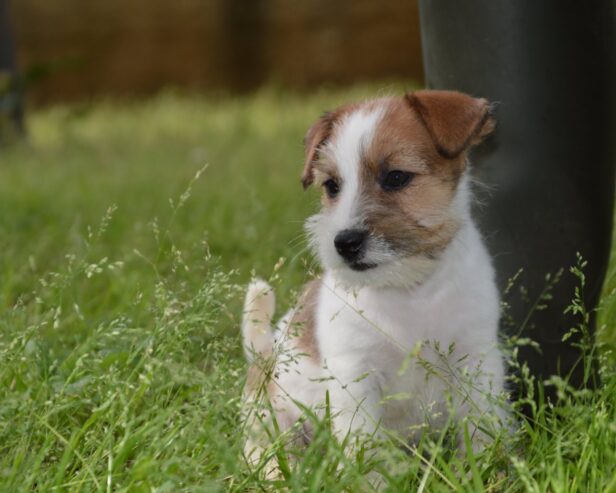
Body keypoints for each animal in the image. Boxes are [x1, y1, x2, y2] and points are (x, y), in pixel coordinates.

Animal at [241, 89, 510, 468]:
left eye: (396, 177)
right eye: (332, 186)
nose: (345, 243)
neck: (411, 292)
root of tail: (263, 352)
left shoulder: (476, 360)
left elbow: (481, 425)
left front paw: (487, 468)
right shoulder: (355, 375)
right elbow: (363, 443)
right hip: (271, 424)